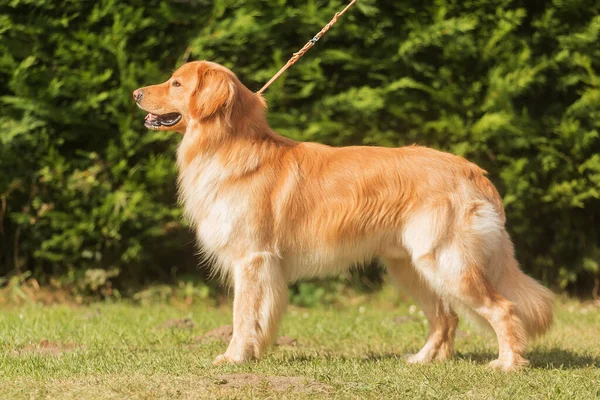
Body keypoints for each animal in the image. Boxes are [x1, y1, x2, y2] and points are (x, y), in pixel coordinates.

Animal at [135, 61, 552, 370]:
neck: (226, 146)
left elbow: (242, 316)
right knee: (445, 317)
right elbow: (260, 317)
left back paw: (508, 363)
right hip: (411, 266)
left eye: (176, 83)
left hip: (447, 261)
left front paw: (234, 356)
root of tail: (473, 171)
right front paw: (254, 353)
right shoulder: (263, 265)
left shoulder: (252, 258)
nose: (135, 93)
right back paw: (422, 360)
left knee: (502, 308)